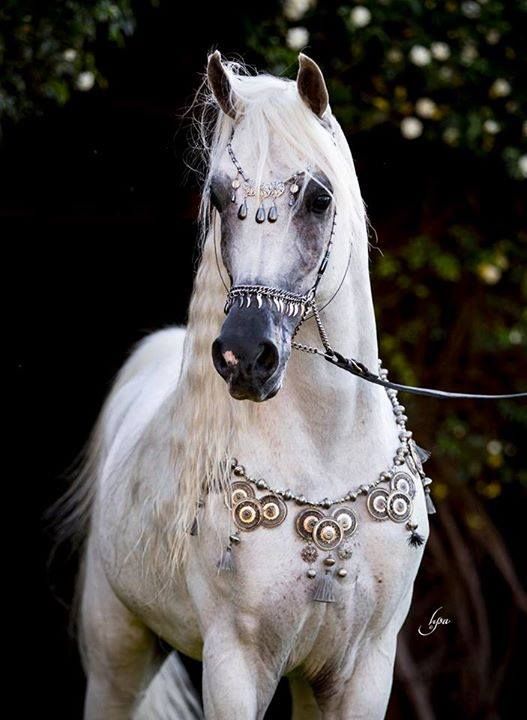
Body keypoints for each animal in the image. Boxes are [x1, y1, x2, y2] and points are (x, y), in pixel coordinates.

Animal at [65, 53, 428, 716]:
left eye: (318, 198)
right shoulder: (235, 663)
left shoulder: (361, 668)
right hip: (116, 656)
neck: (324, 457)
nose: (243, 356)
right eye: (218, 195)